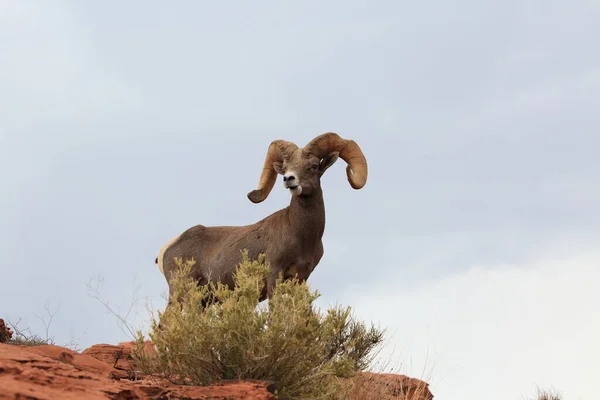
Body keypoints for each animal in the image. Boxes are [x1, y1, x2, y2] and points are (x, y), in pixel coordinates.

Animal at [156, 133, 366, 308]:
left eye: (314, 166)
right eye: (285, 169)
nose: (289, 179)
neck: (302, 236)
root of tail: (166, 249)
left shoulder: (301, 279)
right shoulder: (274, 275)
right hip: (180, 295)